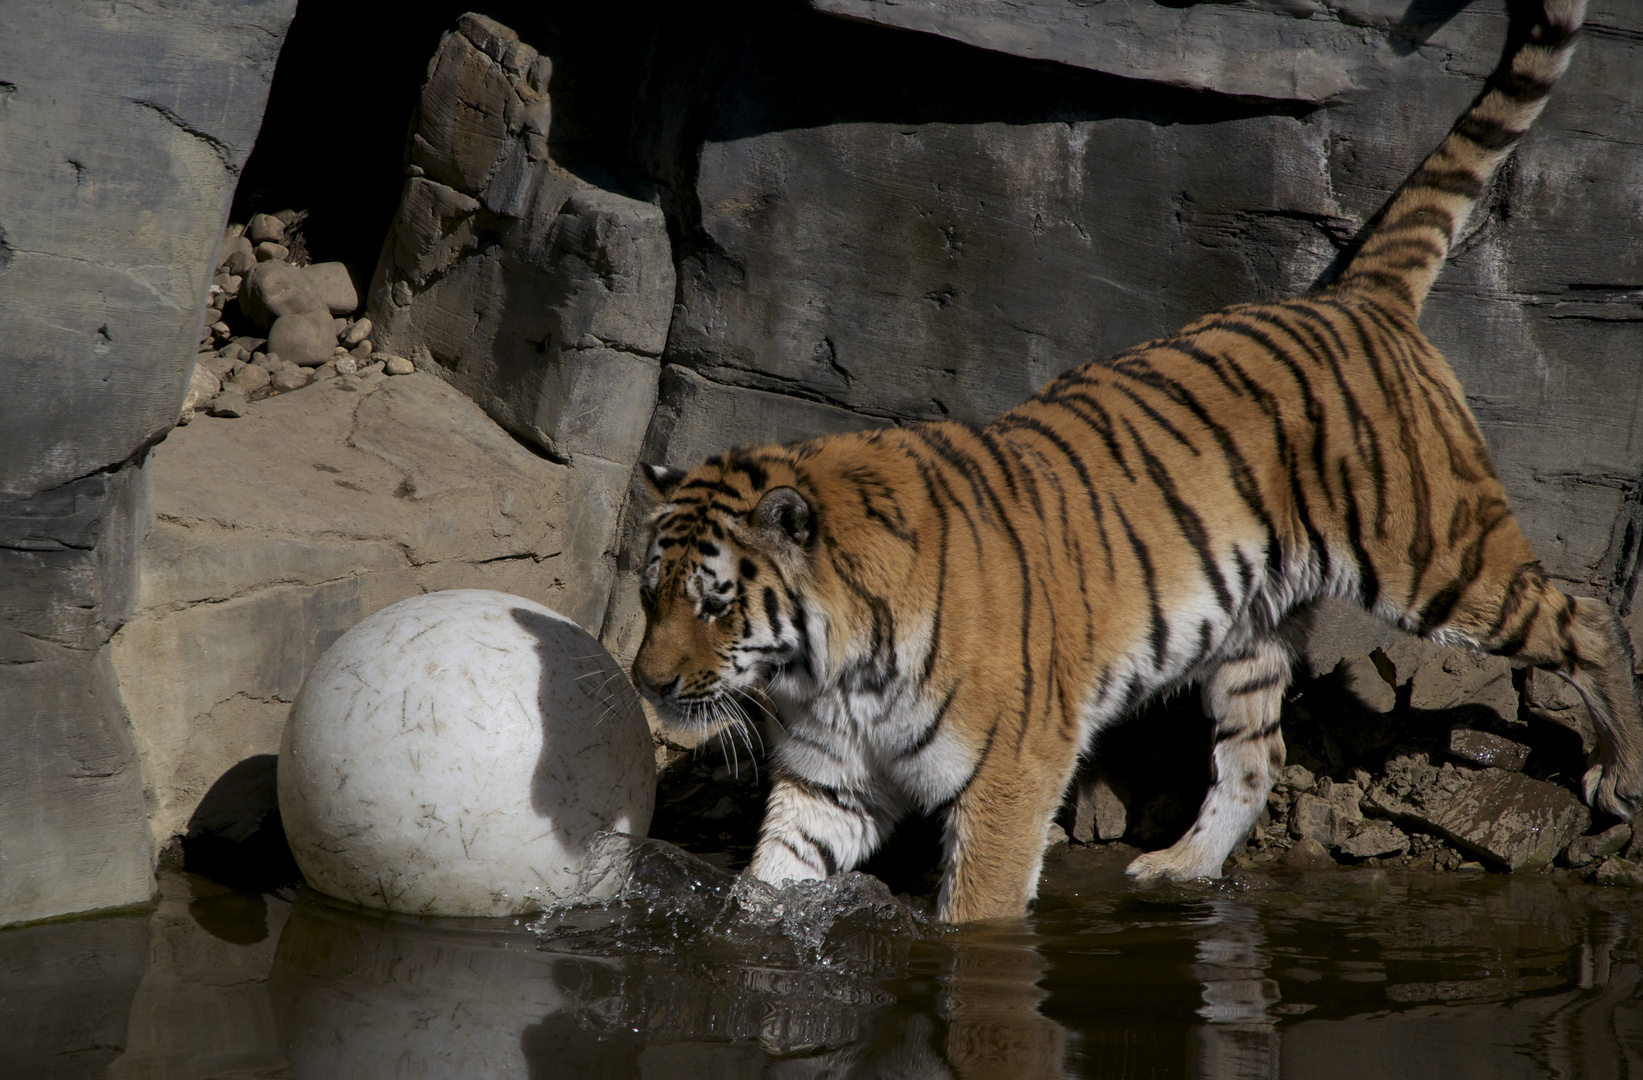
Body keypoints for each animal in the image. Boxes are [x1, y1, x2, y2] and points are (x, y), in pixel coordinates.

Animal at [621, 0, 1636, 920]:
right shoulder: (830, 780)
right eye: (649, 594)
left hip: (1431, 558)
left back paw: (1616, 777)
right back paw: (1180, 868)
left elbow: (975, 917)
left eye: (715, 603)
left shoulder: (1011, 772)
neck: (829, 668)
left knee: (1587, 621)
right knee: (1256, 756)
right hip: (1250, 631)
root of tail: (1355, 296)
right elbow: (770, 887)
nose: (649, 685)